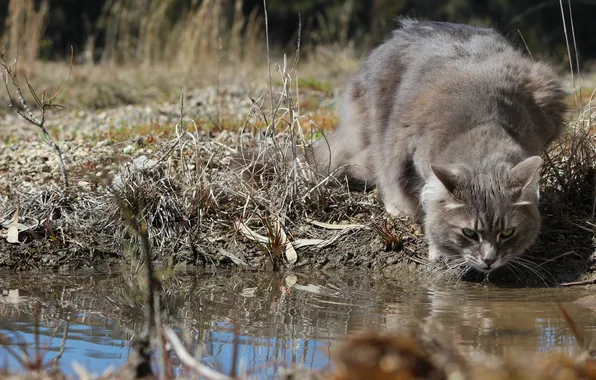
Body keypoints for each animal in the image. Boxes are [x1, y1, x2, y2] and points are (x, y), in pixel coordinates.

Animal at [310, 18, 564, 274]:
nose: (489, 260)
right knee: (383, 174)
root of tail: (406, 28)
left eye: (508, 233)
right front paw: (437, 249)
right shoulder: (411, 156)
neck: (485, 125)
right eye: (469, 233)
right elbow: (428, 203)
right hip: (379, 130)